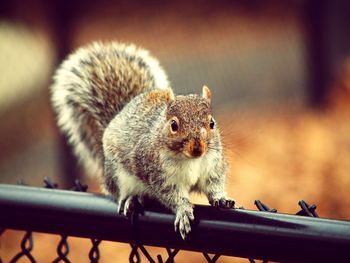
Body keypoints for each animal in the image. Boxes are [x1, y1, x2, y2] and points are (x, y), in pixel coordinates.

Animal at [50, 40, 235, 239]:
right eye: (173, 125)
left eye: (212, 123)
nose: (198, 149)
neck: (190, 160)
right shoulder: (157, 175)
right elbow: (172, 196)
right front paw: (184, 210)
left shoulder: (212, 166)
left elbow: (213, 185)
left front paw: (221, 198)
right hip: (117, 175)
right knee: (119, 190)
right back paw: (131, 198)